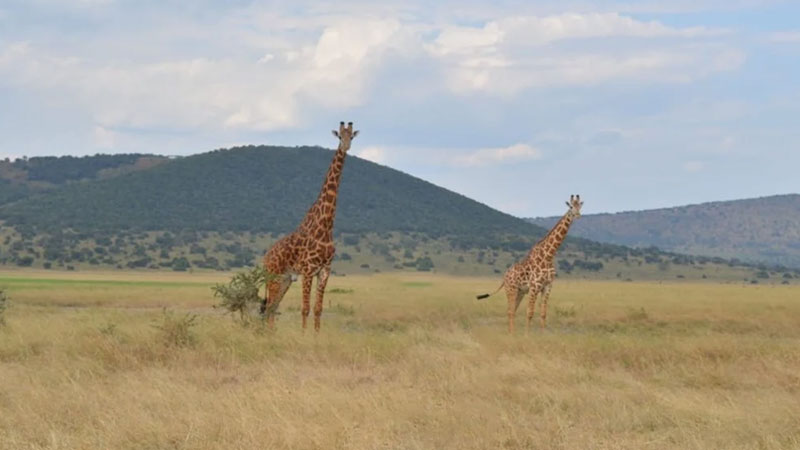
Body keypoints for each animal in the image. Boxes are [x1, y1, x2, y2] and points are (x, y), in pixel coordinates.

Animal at [260, 120, 360, 330]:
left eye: (352, 137)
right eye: (340, 136)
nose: (346, 146)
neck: (326, 226)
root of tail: (265, 258)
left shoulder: (324, 271)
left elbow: (318, 309)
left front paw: (316, 335)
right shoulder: (308, 270)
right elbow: (305, 309)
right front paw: (304, 335)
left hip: (285, 279)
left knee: (272, 307)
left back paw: (270, 334)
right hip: (274, 276)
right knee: (269, 307)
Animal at [476, 195, 580, 332]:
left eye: (580, 206)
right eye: (571, 207)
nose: (578, 215)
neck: (549, 256)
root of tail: (504, 277)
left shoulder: (547, 286)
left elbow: (543, 313)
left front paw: (542, 333)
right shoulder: (534, 287)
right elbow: (530, 312)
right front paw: (527, 334)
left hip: (520, 292)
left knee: (513, 310)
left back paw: (512, 332)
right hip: (511, 290)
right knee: (510, 311)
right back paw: (512, 333)